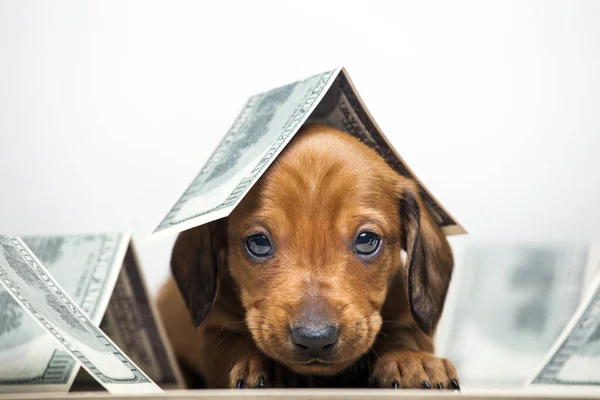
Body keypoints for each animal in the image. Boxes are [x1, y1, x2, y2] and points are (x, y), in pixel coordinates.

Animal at [156, 123, 460, 390]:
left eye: (366, 240)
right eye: (258, 243)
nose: (315, 339)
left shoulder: (407, 317)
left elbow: (403, 335)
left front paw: (412, 360)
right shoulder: (215, 330)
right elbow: (235, 343)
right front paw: (261, 364)